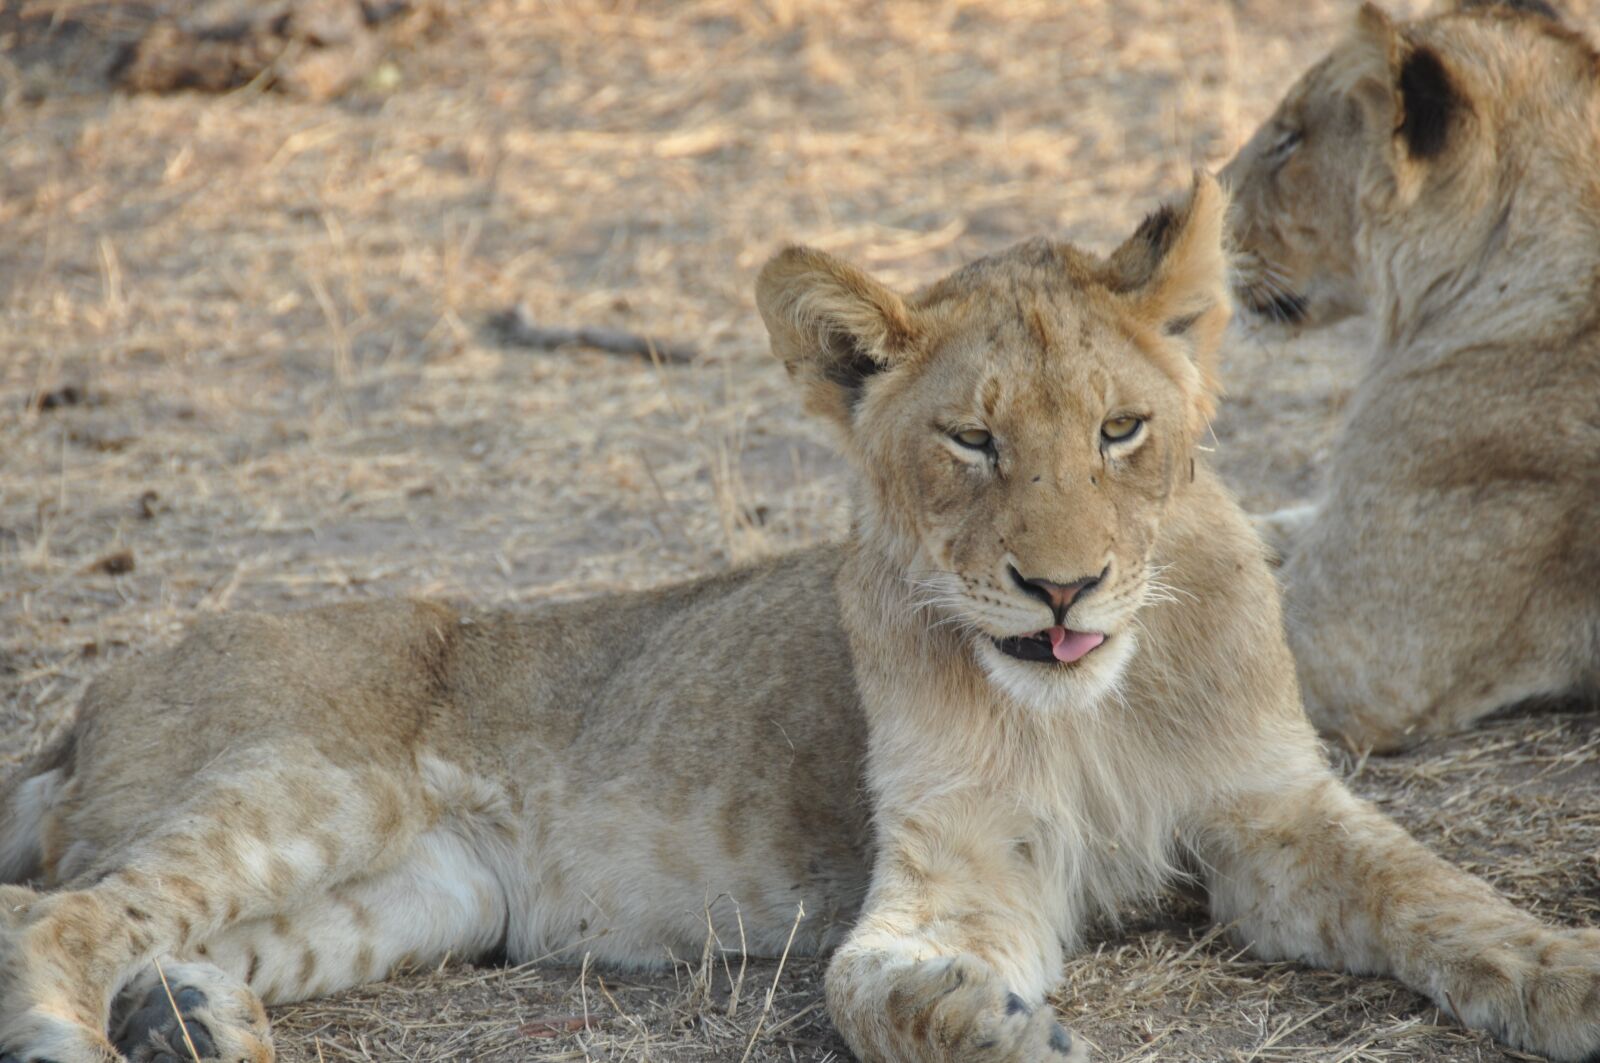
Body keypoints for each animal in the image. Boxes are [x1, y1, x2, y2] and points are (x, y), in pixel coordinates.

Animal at [1, 173, 1598, 1063]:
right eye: (971, 440)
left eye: (1123, 429)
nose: (1064, 587)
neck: (1096, 704)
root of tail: (93, 693)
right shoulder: (959, 872)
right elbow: (871, 991)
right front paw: (999, 1033)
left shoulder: (1273, 813)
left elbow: (1449, 903)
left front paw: (1567, 980)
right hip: (308, 785)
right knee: (59, 912)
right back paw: (80, 1035)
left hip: (422, 893)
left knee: (175, 938)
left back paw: (186, 1023)